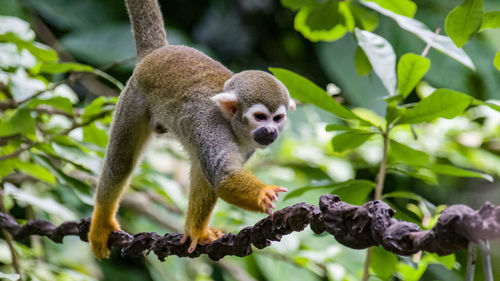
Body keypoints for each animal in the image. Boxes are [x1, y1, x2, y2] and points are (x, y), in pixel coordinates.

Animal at [88, 0, 294, 258]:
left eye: (277, 118)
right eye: (260, 117)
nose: (270, 132)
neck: (233, 124)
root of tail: (158, 53)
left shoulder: (247, 146)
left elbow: (204, 177)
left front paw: (197, 232)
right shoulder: (211, 124)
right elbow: (222, 176)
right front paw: (262, 194)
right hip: (134, 96)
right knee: (120, 164)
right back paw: (102, 221)